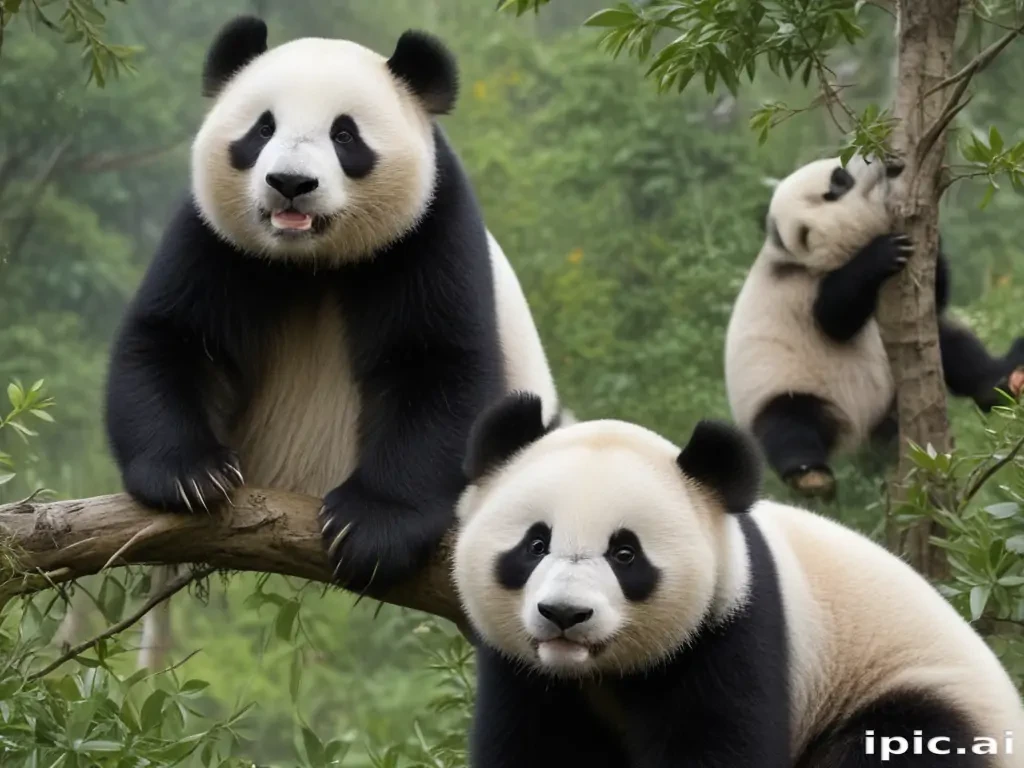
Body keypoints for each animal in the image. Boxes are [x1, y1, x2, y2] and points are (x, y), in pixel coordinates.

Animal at [103, 16, 564, 595]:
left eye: (344, 135)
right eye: (262, 130)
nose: (290, 183)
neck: (312, 261)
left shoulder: (429, 228)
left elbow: (437, 364)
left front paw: (370, 527)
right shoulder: (216, 237)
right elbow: (175, 336)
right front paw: (190, 475)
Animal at [452, 392, 1024, 768]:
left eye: (625, 554)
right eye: (535, 544)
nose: (565, 615)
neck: (597, 672)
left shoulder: (730, 629)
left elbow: (721, 743)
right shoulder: (521, 671)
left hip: (917, 694)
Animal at [725, 154, 1024, 498]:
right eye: (839, 182)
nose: (880, 162)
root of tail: (861, 428)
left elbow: (934, 298)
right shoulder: (798, 291)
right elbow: (833, 318)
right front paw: (882, 252)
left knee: (953, 347)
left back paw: (1001, 383)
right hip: (782, 383)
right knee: (789, 423)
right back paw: (810, 475)